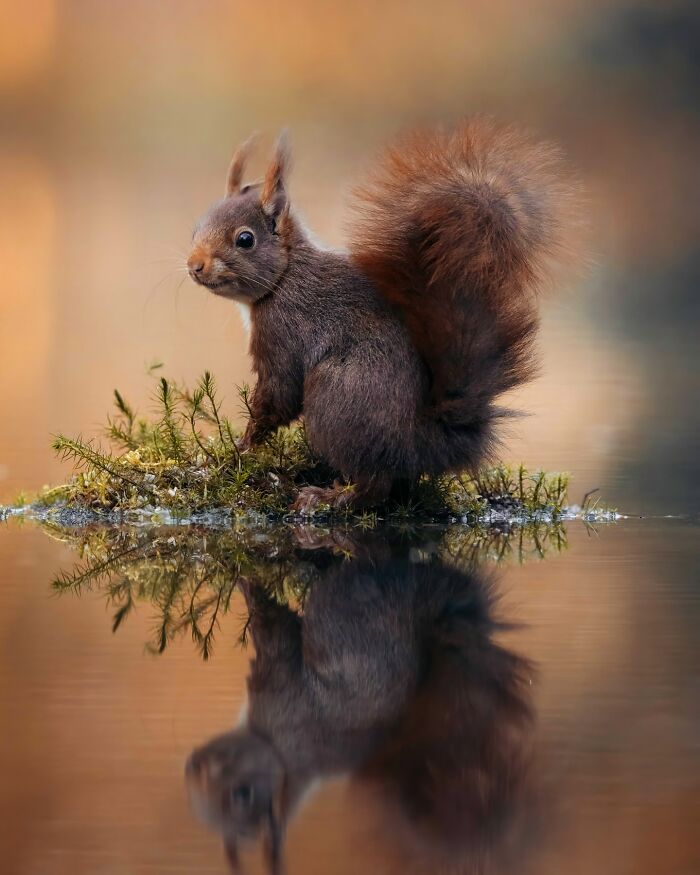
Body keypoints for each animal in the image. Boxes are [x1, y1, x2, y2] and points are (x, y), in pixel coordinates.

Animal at [187, 120, 577, 511]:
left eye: (245, 239)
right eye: (196, 228)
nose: (194, 266)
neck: (284, 277)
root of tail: (421, 441)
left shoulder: (284, 332)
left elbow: (278, 396)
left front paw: (239, 448)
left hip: (336, 397)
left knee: (374, 486)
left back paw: (329, 497)